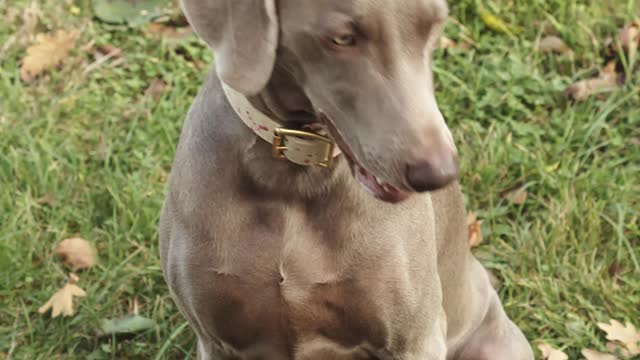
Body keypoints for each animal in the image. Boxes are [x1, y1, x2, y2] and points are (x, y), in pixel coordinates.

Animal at [159, 0, 536, 358]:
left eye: (434, 25)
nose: (439, 172)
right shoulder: (216, 341)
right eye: (342, 38)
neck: (294, 177)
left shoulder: (415, 338)